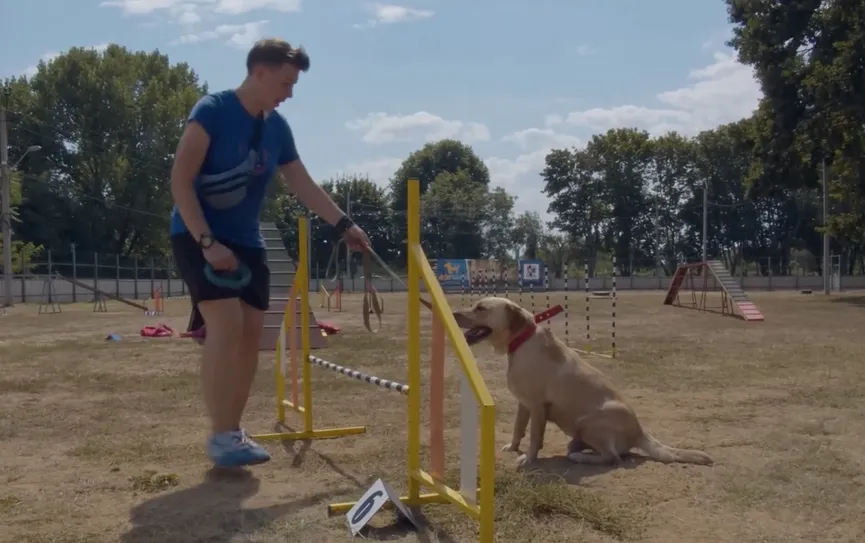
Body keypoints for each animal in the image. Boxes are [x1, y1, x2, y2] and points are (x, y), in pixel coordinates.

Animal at [448, 298, 712, 468]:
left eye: (480, 308)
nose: (453, 314)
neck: (520, 342)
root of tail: (640, 431)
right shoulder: (523, 404)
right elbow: (518, 429)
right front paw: (513, 447)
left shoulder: (537, 406)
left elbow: (533, 436)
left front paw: (529, 459)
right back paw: (577, 447)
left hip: (588, 422)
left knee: (613, 458)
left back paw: (580, 457)